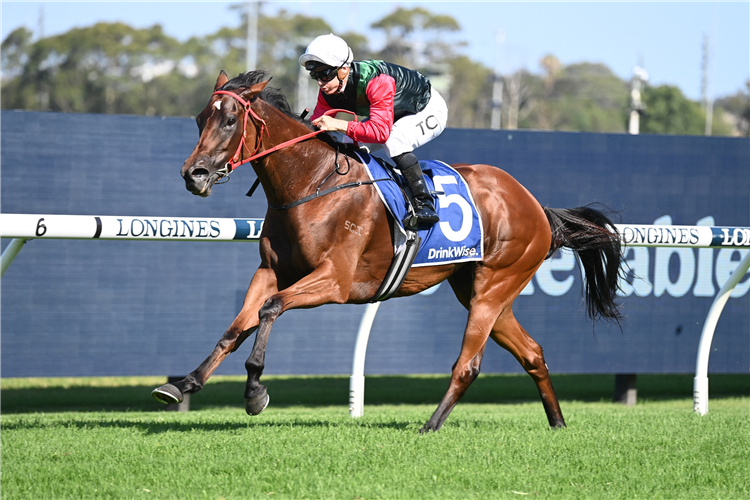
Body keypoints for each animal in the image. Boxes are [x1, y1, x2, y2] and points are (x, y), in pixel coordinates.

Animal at [153, 68, 624, 432]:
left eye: (231, 119)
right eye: (200, 118)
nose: (193, 174)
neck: (312, 181)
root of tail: (535, 205)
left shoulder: (335, 281)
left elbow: (269, 310)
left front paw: (254, 392)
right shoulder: (270, 271)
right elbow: (235, 329)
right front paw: (183, 383)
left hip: (495, 285)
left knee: (468, 364)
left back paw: (430, 425)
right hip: (478, 288)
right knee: (532, 353)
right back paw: (557, 422)